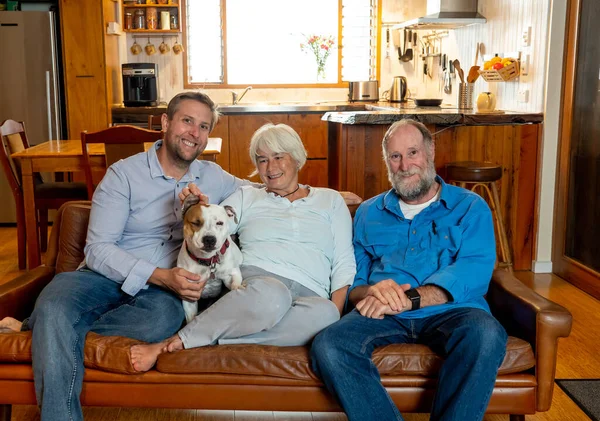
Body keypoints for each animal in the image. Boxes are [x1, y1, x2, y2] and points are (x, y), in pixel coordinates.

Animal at [179, 195, 243, 324]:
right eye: (195, 223)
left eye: (219, 223)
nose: (209, 239)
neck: (208, 260)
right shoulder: (189, 297)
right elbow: (191, 318)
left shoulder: (230, 275)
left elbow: (234, 283)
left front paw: (237, 287)